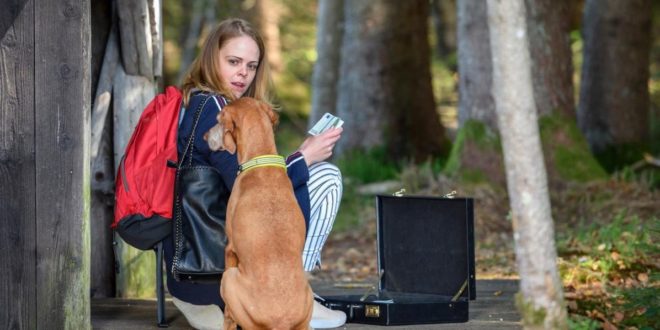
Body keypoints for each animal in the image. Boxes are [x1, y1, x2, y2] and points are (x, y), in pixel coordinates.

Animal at [205, 98, 314, 330]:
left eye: (218, 119)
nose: (204, 136)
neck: (261, 158)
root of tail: (280, 322)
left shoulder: (230, 248)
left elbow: (227, 312)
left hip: (228, 278)